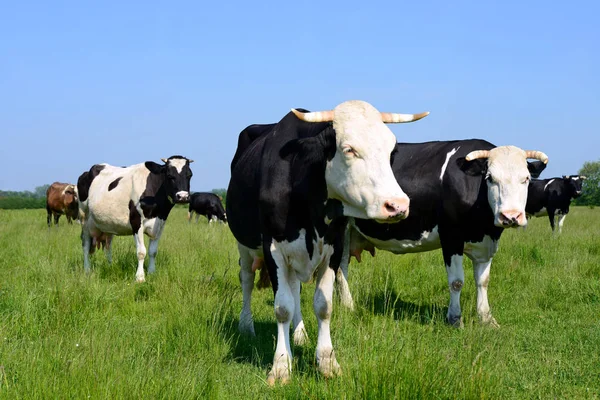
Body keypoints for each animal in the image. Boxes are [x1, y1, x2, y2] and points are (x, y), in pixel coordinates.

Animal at [227, 99, 428, 384]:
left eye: (392, 151)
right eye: (349, 149)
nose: (397, 205)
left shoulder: (334, 247)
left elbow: (324, 306)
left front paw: (327, 361)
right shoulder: (273, 248)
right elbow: (282, 307)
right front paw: (281, 365)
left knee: (295, 288)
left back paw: (299, 334)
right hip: (244, 244)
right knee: (246, 279)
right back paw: (247, 326)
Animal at [332, 141, 548, 328]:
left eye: (526, 179)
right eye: (491, 178)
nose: (510, 216)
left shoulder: (486, 243)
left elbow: (483, 281)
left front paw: (487, 319)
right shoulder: (451, 237)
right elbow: (456, 281)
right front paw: (455, 319)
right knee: (340, 269)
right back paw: (349, 306)